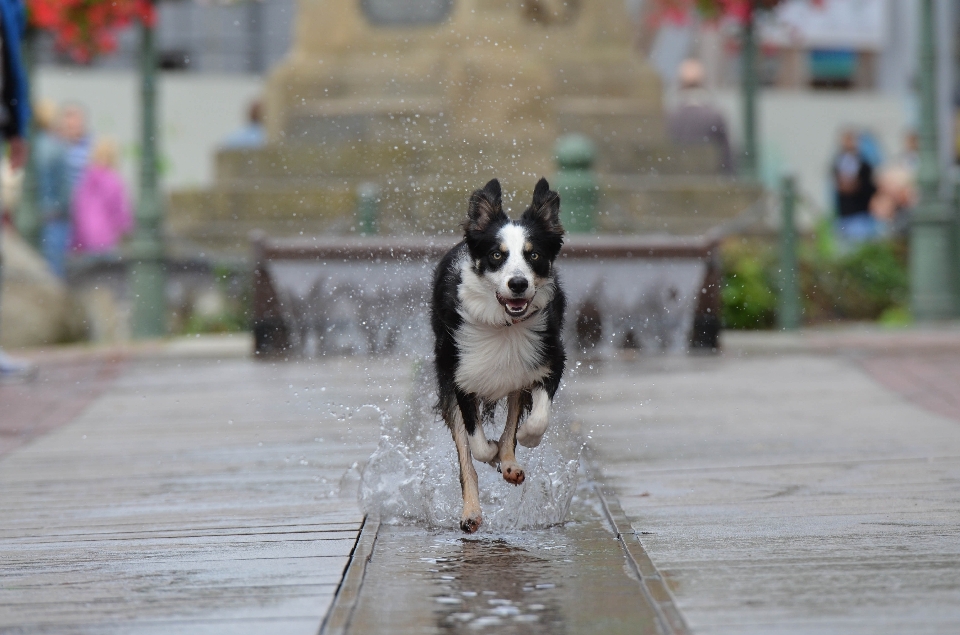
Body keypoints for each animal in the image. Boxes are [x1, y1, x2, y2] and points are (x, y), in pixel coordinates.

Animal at [432, 178, 568, 532]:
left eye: (533, 255)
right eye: (496, 255)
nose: (518, 284)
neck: (504, 326)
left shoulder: (549, 359)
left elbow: (536, 418)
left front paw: (526, 440)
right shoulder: (460, 376)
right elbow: (476, 444)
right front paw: (490, 451)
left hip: (517, 377)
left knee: (511, 425)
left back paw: (509, 464)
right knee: (466, 456)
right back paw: (471, 513)